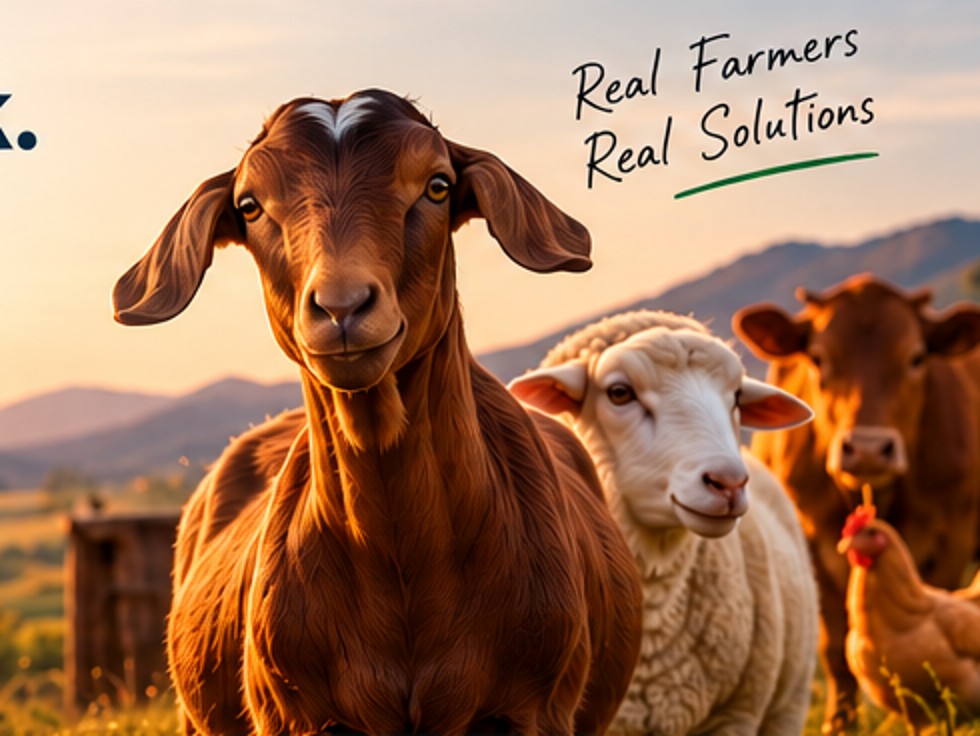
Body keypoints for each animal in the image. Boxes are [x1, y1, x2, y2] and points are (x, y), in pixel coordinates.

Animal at [112, 90, 643, 735]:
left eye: (437, 186)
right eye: (249, 205)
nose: (341, 306)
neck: (400, 551)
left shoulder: (534, 710)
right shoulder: (295, 715)